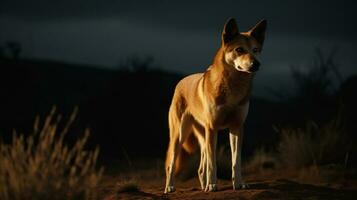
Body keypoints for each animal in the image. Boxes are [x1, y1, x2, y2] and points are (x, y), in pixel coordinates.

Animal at [163, 18, 264, 193]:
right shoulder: (213, 127)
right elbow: (213, 163)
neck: (233, 88)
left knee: (200, 168)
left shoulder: (237, 127)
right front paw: (212, 185)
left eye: (255, 50)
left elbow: (236, 161)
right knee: (171, 164)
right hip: (180, 136)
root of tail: (181, 81)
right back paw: (170, 187)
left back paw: (203, 186)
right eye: (239, 49)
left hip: (203, 137)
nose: (255, 64)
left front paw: (239, 184)